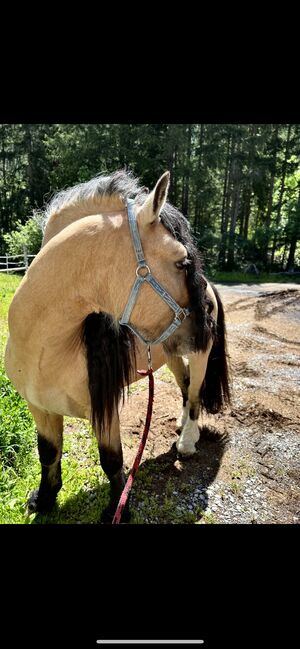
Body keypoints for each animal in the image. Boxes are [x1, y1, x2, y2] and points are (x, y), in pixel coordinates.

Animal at [4, 168, 230, 520]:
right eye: (182, 262)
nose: (206, 320)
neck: (46, 351)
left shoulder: (106, 411)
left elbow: (111, 459)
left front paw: (117, 510)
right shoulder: (39, 408)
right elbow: (48, 453)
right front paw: (44, 499)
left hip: (199, 354)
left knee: (194, 395)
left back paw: (187, 442)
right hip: (173, 352)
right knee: (184, 385)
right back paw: (181, 426)